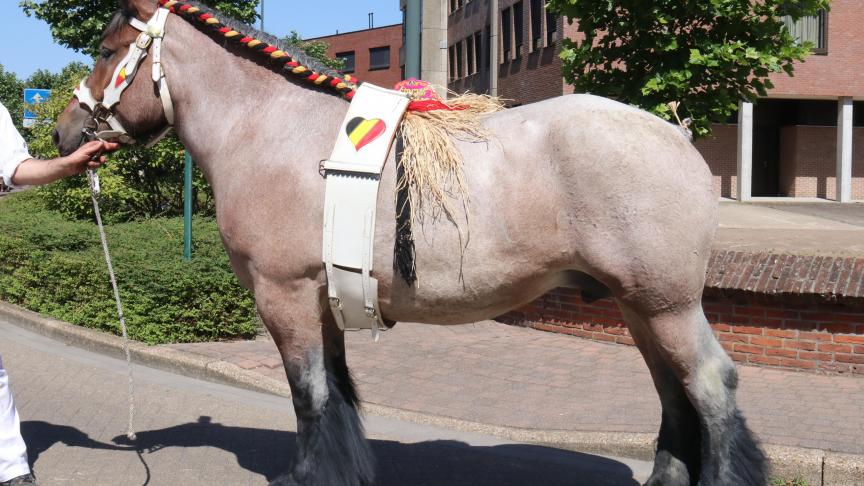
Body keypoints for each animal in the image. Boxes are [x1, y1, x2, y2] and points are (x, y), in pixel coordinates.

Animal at [54, 0, 768, 486]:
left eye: (110, 47)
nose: (63, 131)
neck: (273, 130)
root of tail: (676, 135)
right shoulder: (322, 298)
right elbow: (338, 391)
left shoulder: (284, 294)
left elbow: (309, 393)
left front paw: (307, 475)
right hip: (638, 307)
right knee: (674, 392)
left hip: (666, 305)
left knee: (710, 385)